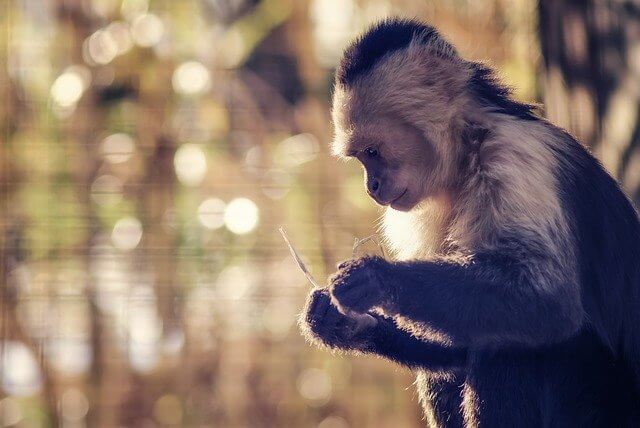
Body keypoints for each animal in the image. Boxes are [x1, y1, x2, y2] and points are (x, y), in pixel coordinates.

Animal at [298, 18, 640, 426]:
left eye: (372, 152)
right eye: (362, 158)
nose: (371, 187)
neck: (466, 148)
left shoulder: (512, 157)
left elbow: (548, 300)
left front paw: (376, 278)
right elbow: (456, 344)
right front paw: (342, 324)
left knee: (516, 346)